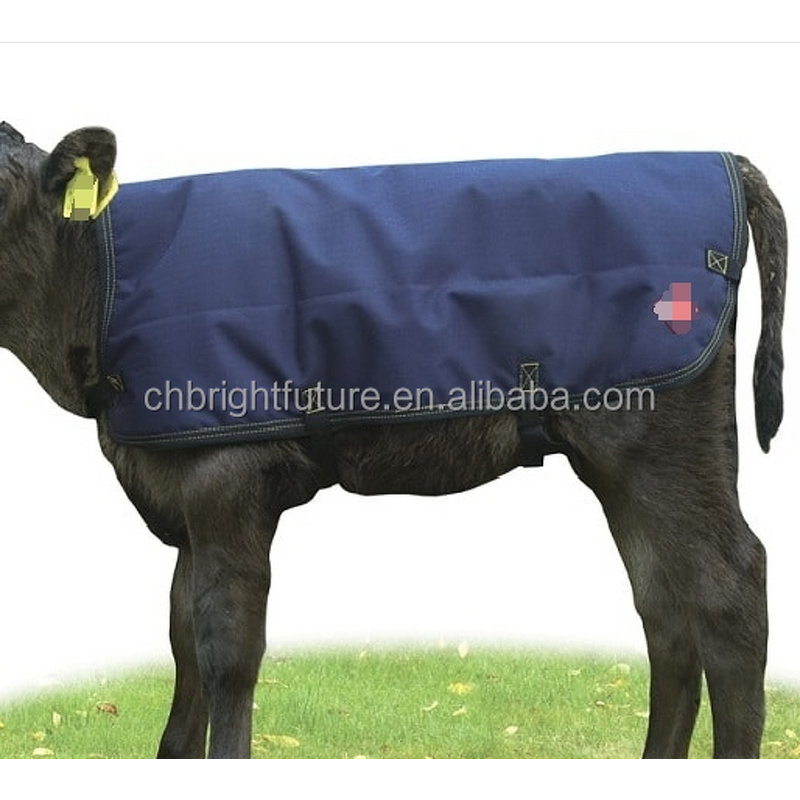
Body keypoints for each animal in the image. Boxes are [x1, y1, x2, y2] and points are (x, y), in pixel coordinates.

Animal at [0, 122, 786, 758]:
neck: (99, 281)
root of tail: (726, 162)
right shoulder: (182, 499)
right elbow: (181, 650)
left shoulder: (228, 477)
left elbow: (227, 654)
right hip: (625, 466)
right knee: (666, 612)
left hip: (661, 439)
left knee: (729, 589)